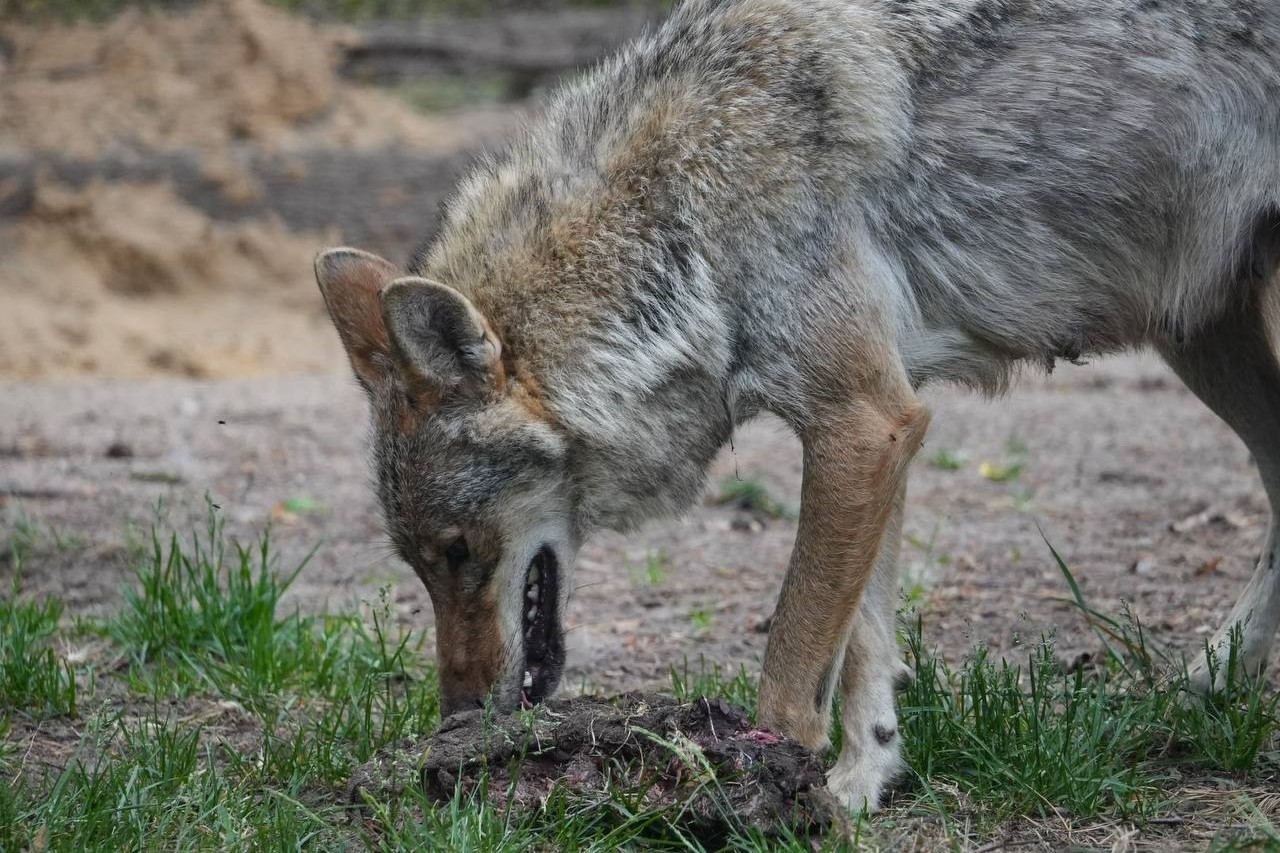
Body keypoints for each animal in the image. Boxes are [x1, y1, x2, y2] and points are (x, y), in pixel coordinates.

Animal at [314, 0, 1280, 812]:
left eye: (459, 552)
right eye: (420, 564)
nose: (458, 717)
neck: (678, 211)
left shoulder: (864, 421)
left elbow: (792, 659)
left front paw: (767, 787)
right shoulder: (877, 424)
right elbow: (864, 646)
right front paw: (859, 784)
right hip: (1200, 332)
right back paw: (1209, 685)